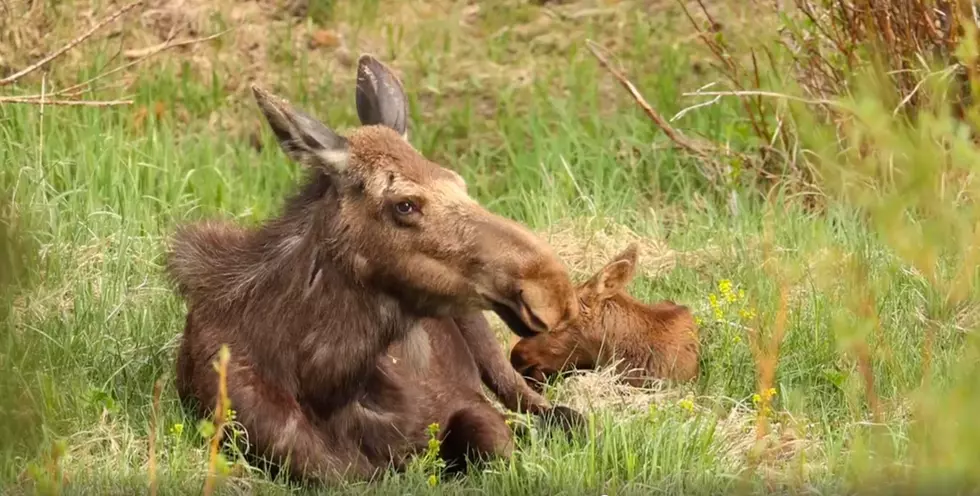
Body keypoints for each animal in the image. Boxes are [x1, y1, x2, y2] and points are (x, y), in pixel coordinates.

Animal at [167, 54, 580, 484]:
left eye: (458, 181)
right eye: (404, 204)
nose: (552, 290)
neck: (327, 384)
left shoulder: (464, 402)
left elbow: (496, 443)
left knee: (538, 400)